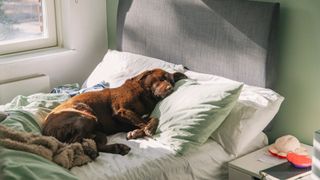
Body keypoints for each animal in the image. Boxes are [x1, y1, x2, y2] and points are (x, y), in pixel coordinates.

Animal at [42, 68, 188, 155]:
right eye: (161, 79)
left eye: (172, 82)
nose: (170, 88)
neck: (146, 94)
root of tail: (45, 131)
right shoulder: (122, 110)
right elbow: (141, 121)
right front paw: (146, 129)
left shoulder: (134, 117)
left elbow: (152, 119)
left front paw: (138, 132)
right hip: (87, 116)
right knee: (72, 142)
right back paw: (90, 150)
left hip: (99, 132)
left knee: (94, 144)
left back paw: (115, 148)